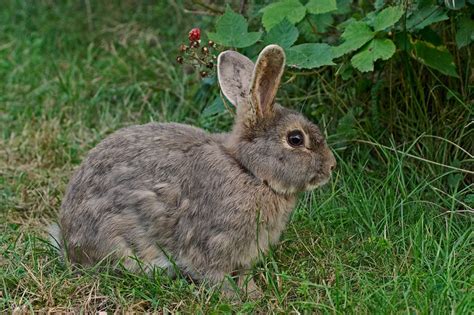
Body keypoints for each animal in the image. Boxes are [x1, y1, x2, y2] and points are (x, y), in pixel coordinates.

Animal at [50, 44, 336, 298]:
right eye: (295, 139)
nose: (331, 166)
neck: (249, 171)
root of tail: (69, 242)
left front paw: (253, 293)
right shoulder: (213, 243)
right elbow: (214, 275)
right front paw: (236, 298)